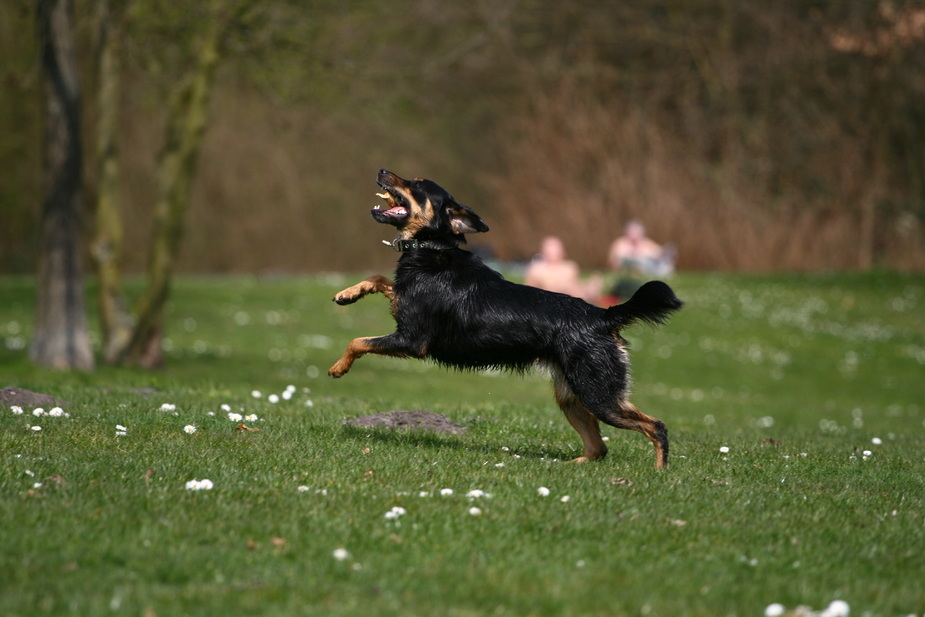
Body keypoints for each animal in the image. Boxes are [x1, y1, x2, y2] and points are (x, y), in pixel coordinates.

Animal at [328, 168, 684, 466]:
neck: (432, 248)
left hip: (598, 395)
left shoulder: (412, 340)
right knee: (599, 448)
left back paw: (659, 473)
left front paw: (338, 368)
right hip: (572, 397)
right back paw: (569, 467)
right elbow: (379, 279)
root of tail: (603, 315)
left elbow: (358, 341)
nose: (382, 170)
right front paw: (348, 294)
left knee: (656, 426)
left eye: (416, 184)